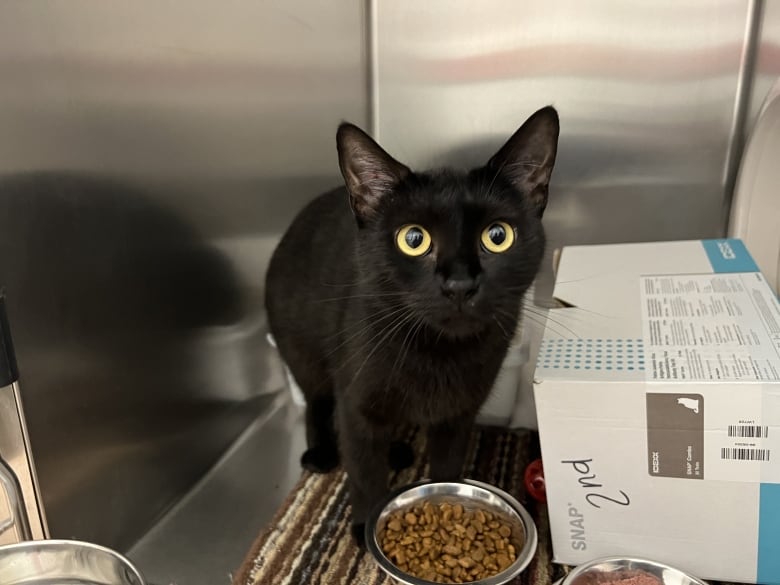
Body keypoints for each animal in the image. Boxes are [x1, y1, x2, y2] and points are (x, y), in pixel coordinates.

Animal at [266, 106, 556, 544]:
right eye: (413, 239)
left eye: (498, 235)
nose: (459, 283)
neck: (438, 351)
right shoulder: (357, 404)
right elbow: (364, 468)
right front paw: (364, 528)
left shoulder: (459, 412)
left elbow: (447, 466)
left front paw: (449, 511)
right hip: (301, 351)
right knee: (316, 401)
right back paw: (320, 453)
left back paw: (398, 451)